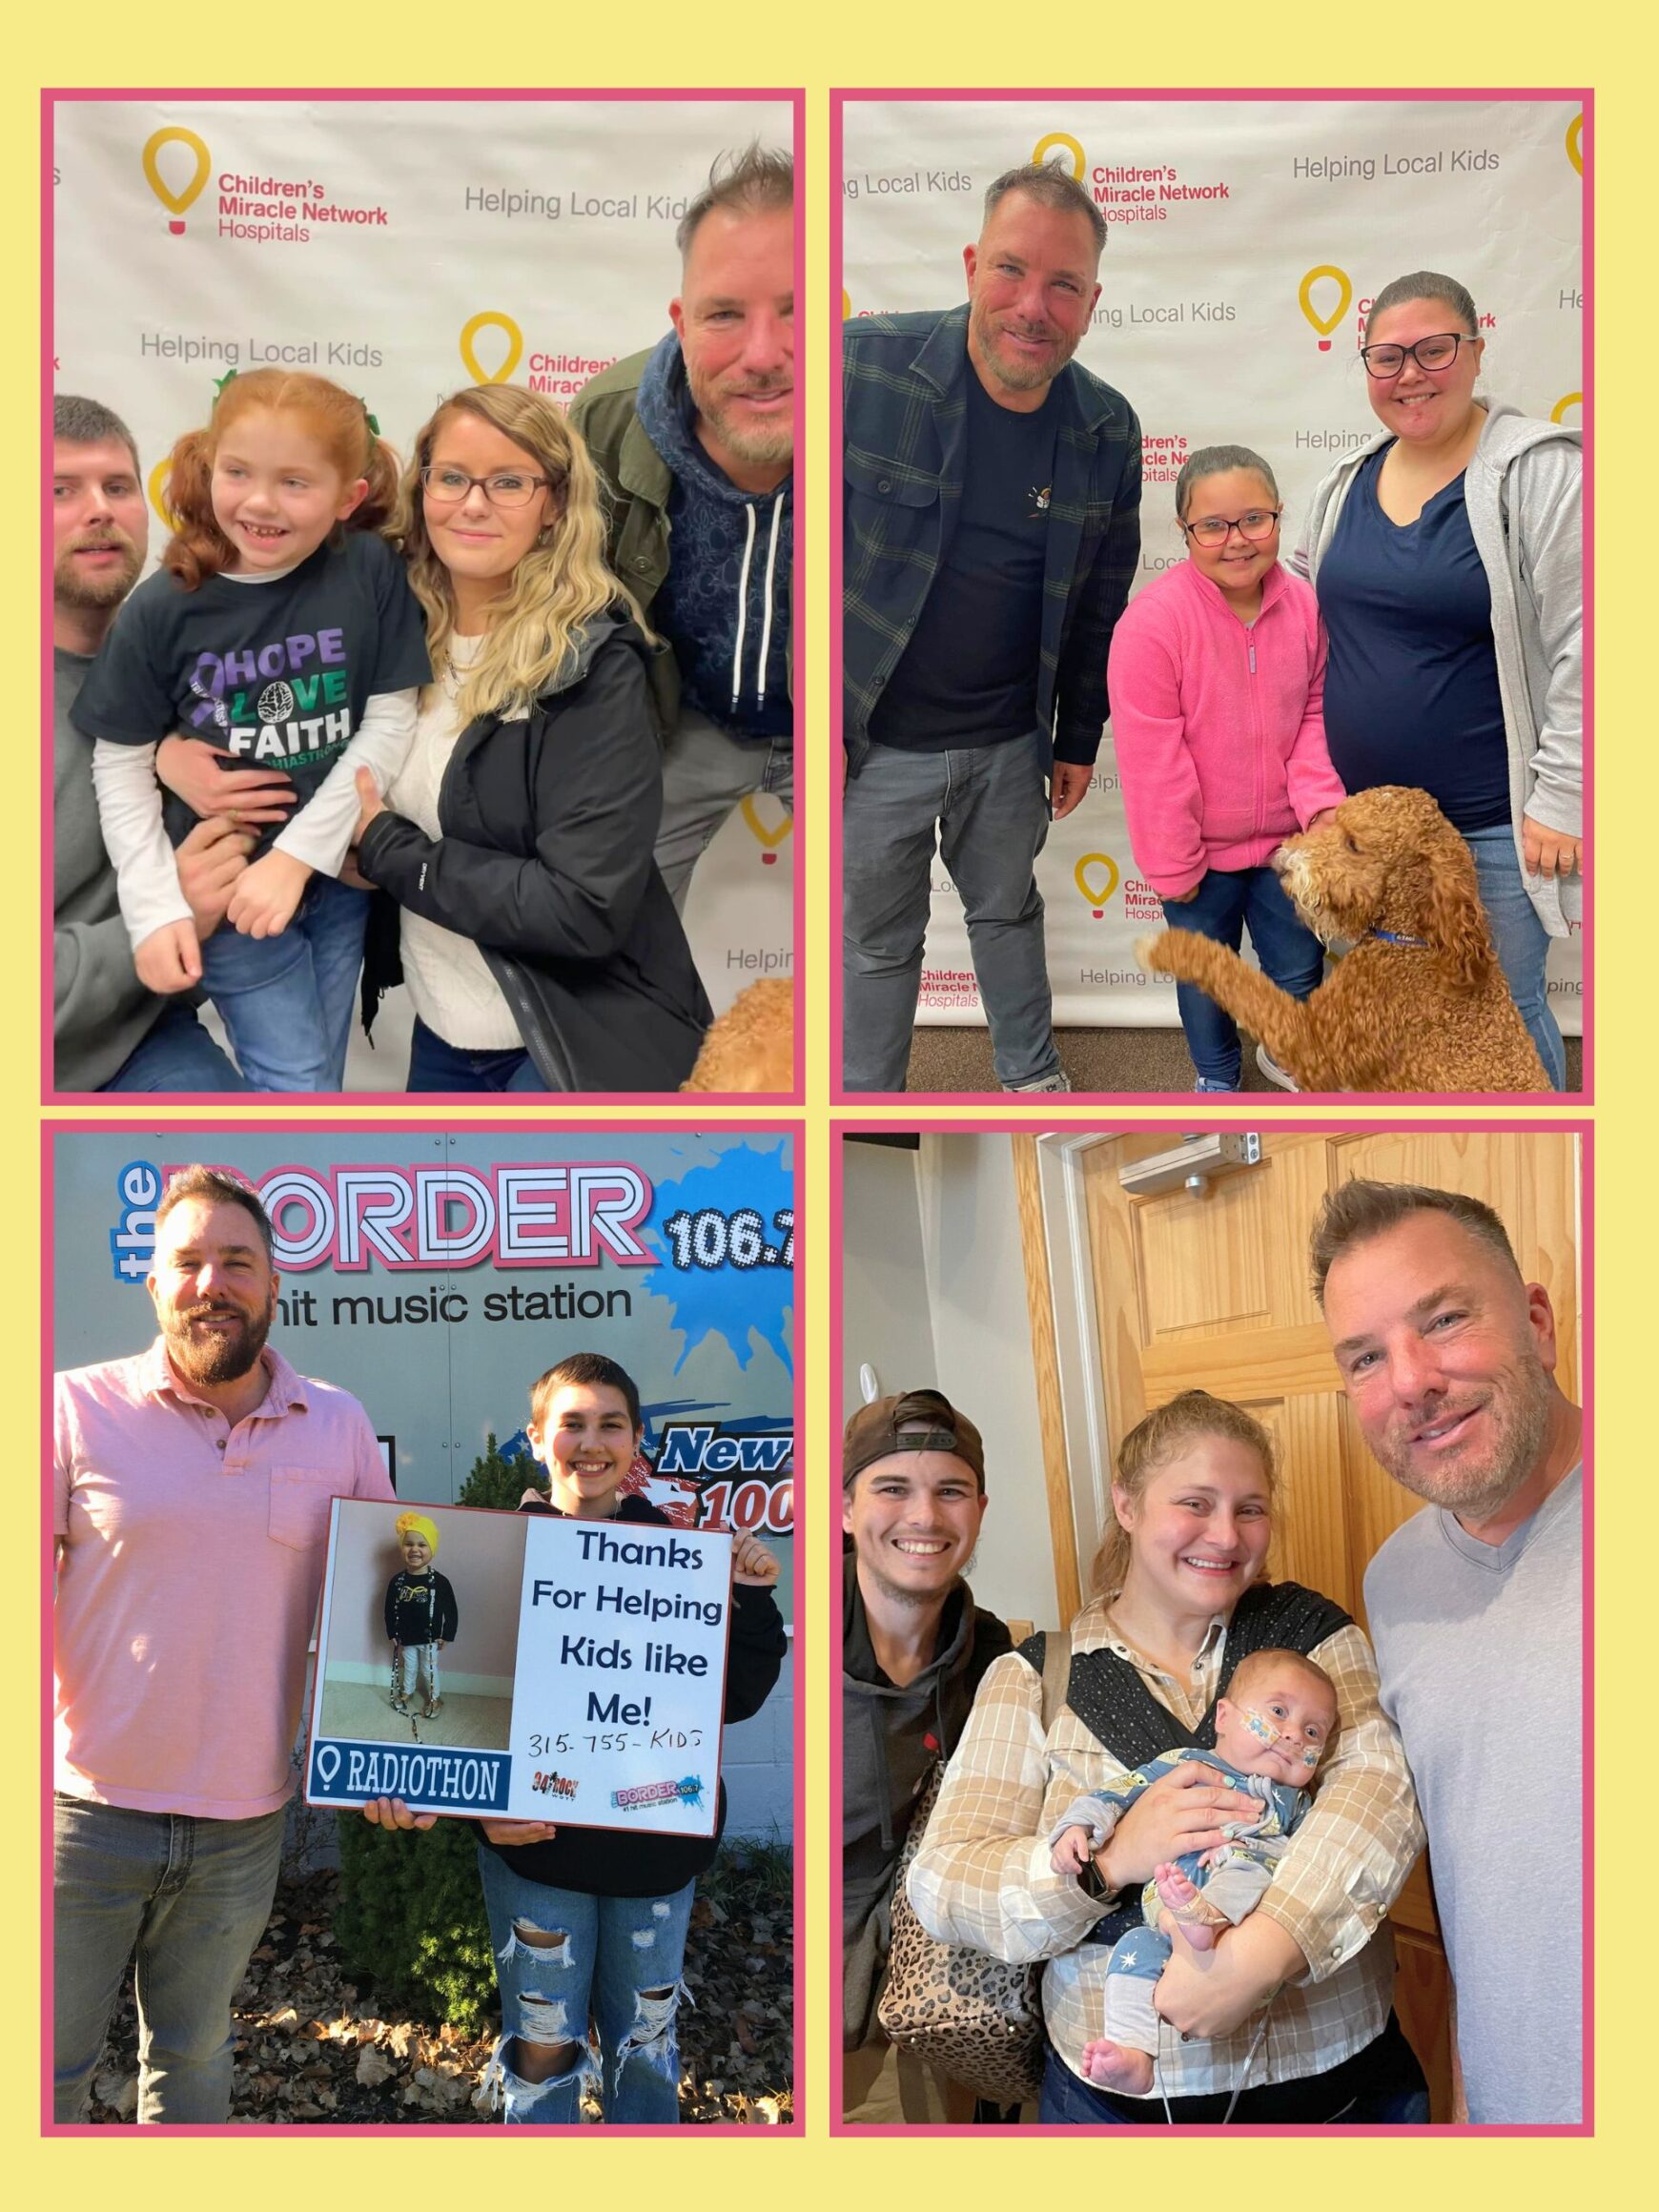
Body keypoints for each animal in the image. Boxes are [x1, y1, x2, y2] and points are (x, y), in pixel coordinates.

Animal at [1141, 787, 1557, 1096]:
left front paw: (1172, 947)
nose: (1281, 861)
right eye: (1334, 821)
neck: (1413, 944)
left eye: (1354, 843)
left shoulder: (1310, 1042)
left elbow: (1238, 979)